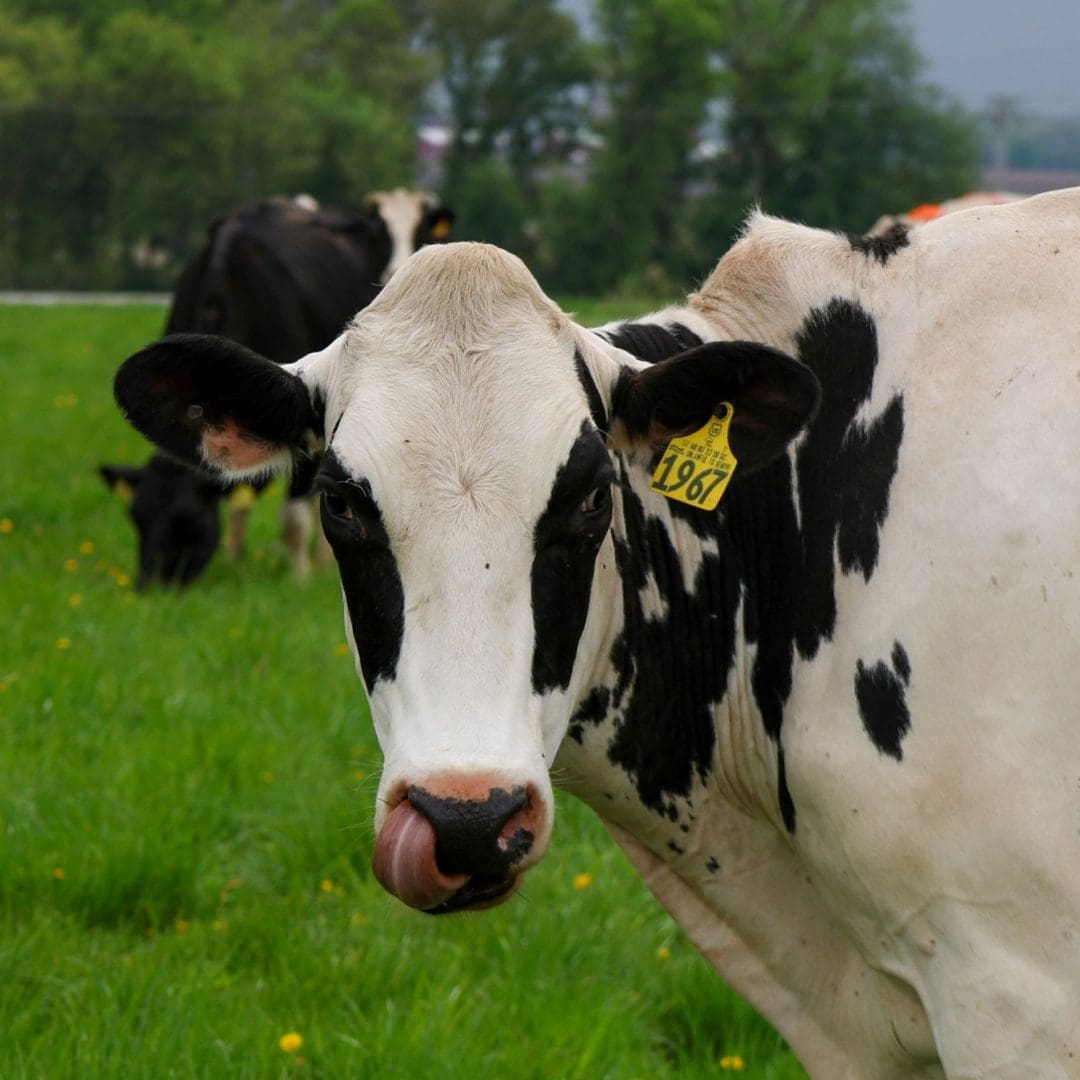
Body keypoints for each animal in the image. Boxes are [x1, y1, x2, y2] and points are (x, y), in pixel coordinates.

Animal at [101, 191, 453, 587]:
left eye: (188, 523)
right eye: (137, 518)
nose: (150, 588)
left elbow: (295, 517)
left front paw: (300, 578)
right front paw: (236, 562)